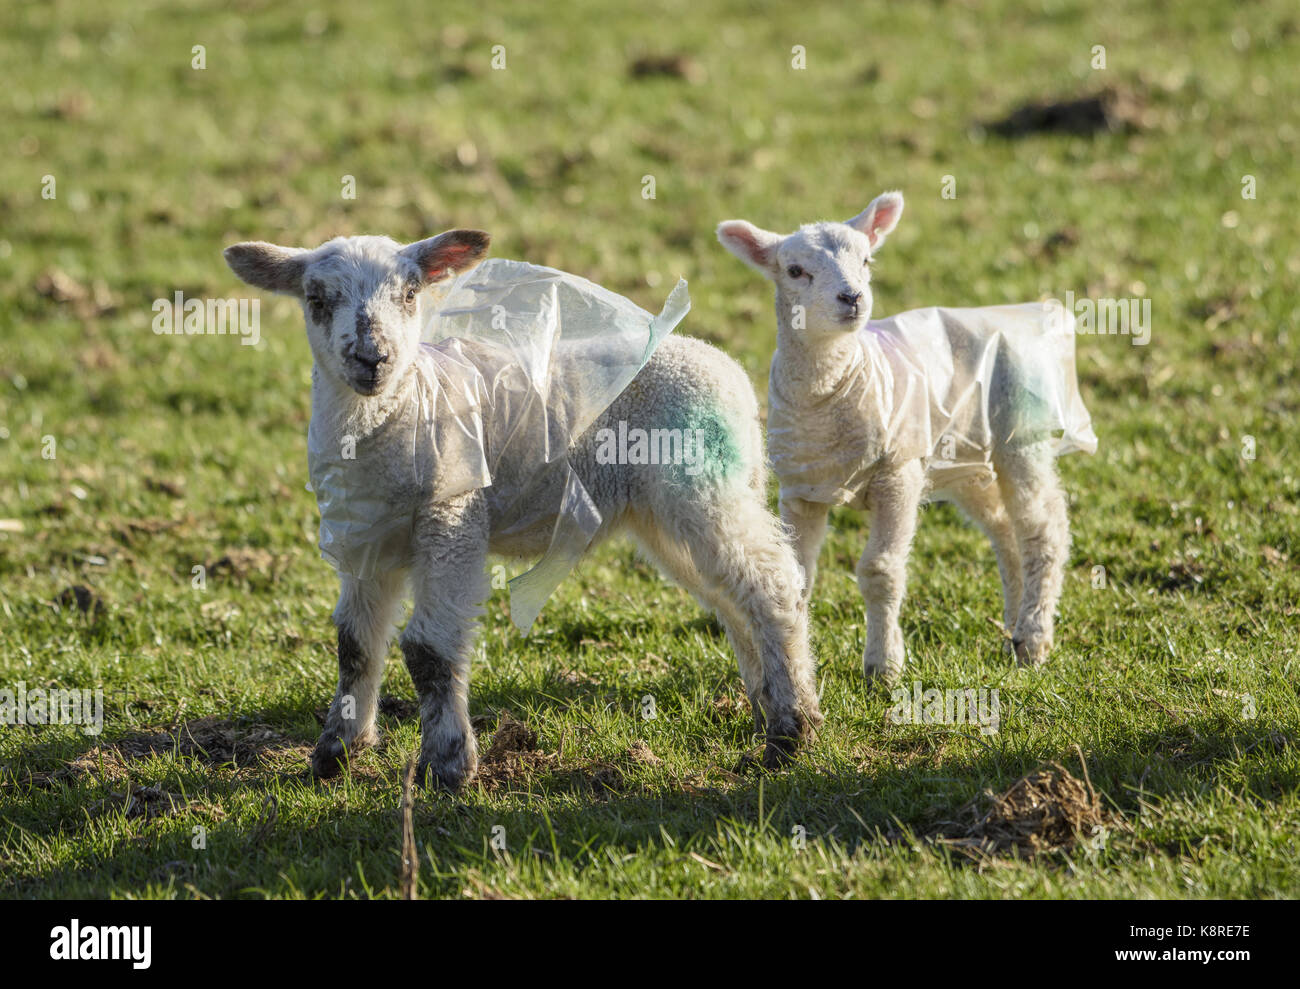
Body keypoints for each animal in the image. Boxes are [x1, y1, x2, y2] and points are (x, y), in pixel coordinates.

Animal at [224, 230, 821, 790]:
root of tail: (730, 375)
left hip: (700, 485)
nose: (372, 359)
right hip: (670, 511)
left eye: (412, 293)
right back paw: (765, 705)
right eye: (316, 299)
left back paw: (793, 729)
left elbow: (428, 649)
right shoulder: (368, 536)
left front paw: (449, 764)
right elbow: (355, 646)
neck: (399, 412)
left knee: (771, 583)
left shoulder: (453, 519)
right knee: (730, 597)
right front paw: (336, 752)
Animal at [718, 192, 1096, 679]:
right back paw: (1013, 627)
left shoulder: (898, 472)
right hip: (966, 456)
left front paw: (884, 665)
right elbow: (797, 576)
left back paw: (1033, 637)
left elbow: (880, 570)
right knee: (1003, 529)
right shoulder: (801, 489)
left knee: (1044, 528)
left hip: (1020, 434)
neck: (831, 392)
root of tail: (1029, 316)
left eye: (866, 259)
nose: (852, 297)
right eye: (795, 270)